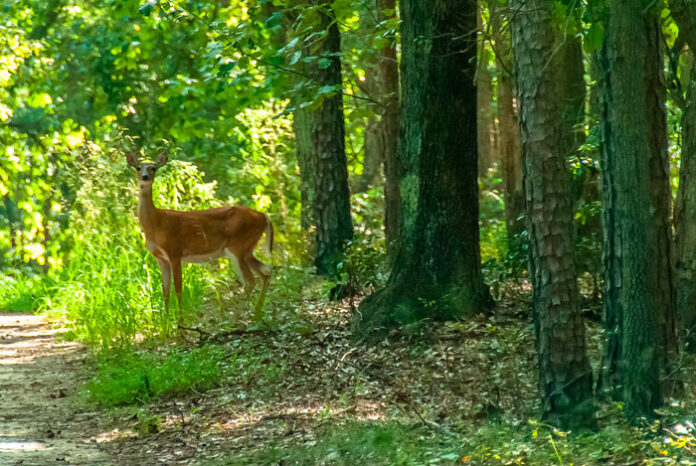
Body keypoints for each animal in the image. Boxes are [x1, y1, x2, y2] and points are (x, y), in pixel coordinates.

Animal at [126, 152, 274, 328]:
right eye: (138, 167)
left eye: (153, 168)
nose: (145, 177)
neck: (156, 223)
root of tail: (264, 217)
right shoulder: (160, 258)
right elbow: (165, 291)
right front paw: (165, 327)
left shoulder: (175, 251)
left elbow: (178, 289)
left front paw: (180, 326)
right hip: (247, 249)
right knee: (265, 272)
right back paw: (256, 315)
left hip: (237, 247)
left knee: (250, 281)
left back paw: (236, 320)